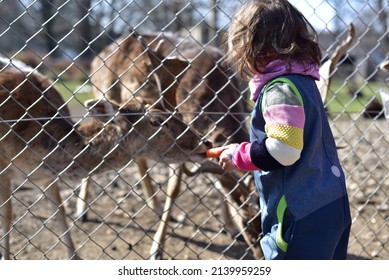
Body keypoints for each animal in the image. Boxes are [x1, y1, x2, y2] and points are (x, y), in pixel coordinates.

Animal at [0, 55, 209, 260]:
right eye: (157, 121)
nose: (205, 142)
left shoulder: (47, 175)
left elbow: (59, 211)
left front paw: (75, 257)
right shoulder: (4, 169)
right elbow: (7, 215)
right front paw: (6, 257)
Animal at [75, 31, 264, 262]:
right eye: (246, 221)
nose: (260, 254)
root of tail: (96, 58)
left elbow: (220, 184)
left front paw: (230, 227)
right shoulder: (181, 133)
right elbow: (174, 189)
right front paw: (157, 249)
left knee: (139, 157)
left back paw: (154, 205)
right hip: (103, 91)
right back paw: (82, 211)